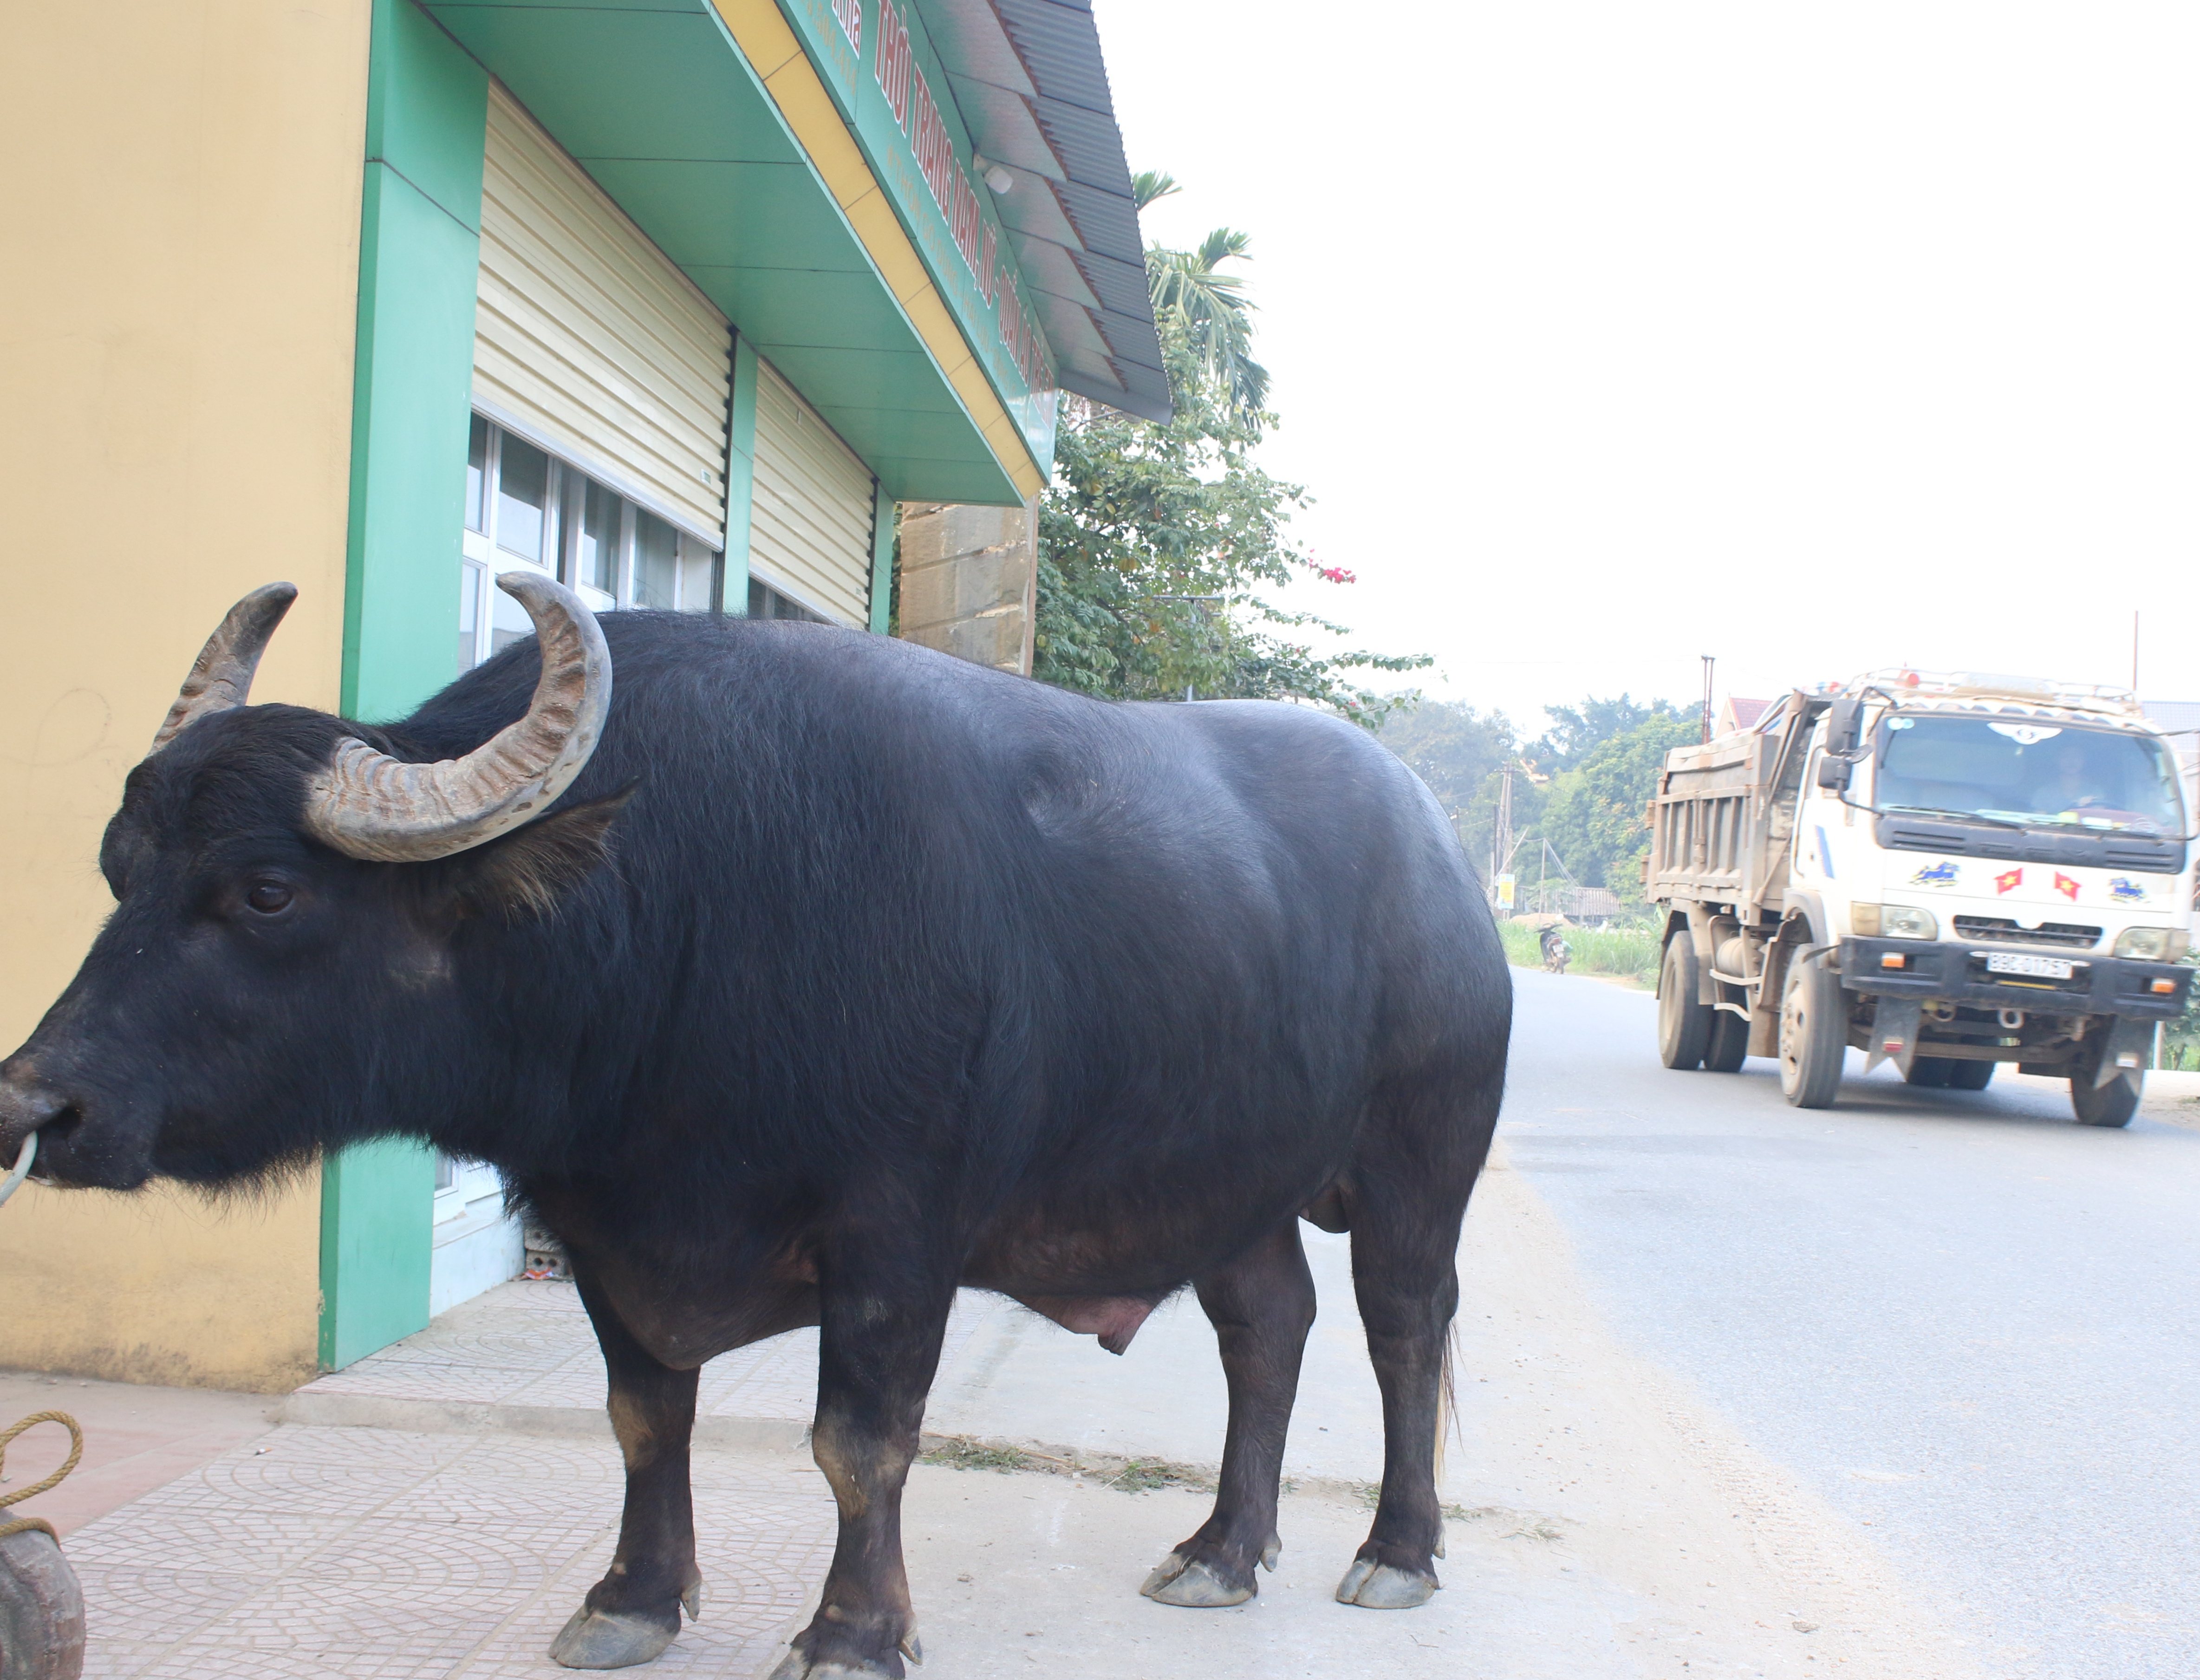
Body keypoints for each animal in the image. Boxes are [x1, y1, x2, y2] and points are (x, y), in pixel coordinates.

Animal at [0, 576, 1513, 1671]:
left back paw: (1393, 1553)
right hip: (1225, 1181)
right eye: (121, 868)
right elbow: (640, 1414)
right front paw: (631, 1598)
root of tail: (1445, 862)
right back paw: (1218, 1550)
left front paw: (851, 1632)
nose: (38, 1101)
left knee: (1401, 1327)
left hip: (1419, 1162)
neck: (672, 917)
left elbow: (860, 1442)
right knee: (1266, 1328)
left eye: (266, 891)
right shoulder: (601, 1226)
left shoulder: (895, 1238)